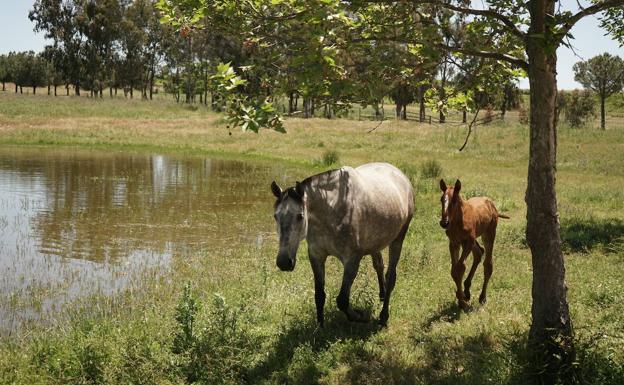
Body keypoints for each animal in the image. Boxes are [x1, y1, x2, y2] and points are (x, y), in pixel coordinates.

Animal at [270, 160, 412, 326]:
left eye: (300, 216)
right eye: (275, 216)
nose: (284, 262)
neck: (333, 209)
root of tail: (401, 175)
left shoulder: (352, 260)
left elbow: (342, 300)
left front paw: (360, 316)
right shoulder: (317, 256)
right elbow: (319, 296)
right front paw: (320, 327)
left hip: (398, 239)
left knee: (390, 275)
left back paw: (383, 317)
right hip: (375, 242)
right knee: (379, 266)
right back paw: (382, 296)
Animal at [436, 179, 510, 308]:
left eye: (455, 200)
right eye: (441, 199)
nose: (444, 222)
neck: (458, 221)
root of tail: (492, 205)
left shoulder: (467, 242)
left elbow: (460, 267)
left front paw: (462, 301)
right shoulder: (454, 243)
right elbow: (454, 270)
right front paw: (461, 297)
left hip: (488, 234)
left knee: (488, 264)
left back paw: (482, 297)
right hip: (473, 239)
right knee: (479, 252)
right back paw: (467, 290)